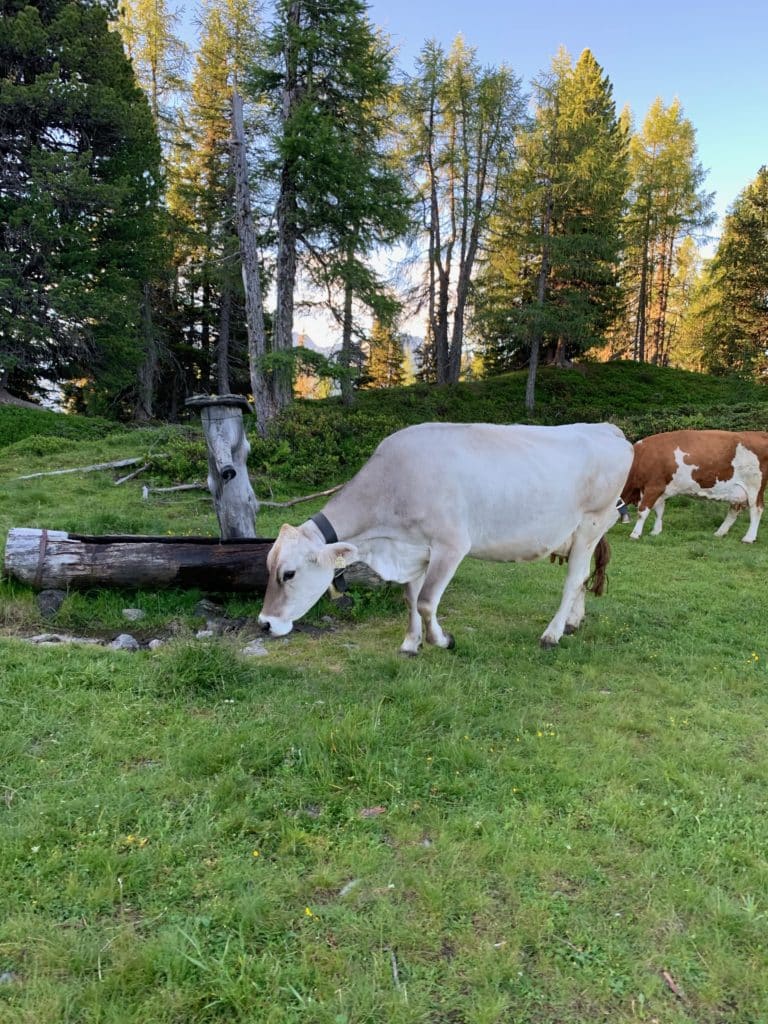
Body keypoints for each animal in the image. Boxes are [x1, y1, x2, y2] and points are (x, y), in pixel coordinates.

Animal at [259, 419, 630, 651]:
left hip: (592, 522)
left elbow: (426, 602)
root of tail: (606, 428)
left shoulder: (451, 545)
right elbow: (410, 599)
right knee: (582, 578)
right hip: (583, 534)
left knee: (574, 579)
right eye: (268, 567)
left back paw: (552, 635)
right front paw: (410, 644)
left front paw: (442, 640)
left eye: (288, 573)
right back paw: (572, 623)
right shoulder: (413, 550)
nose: (264, 624)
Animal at [622, 425, 768, 544]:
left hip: (755, 487)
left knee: (757, 509)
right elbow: (659, 510)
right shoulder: (660, 488)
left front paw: (635, 534)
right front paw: (655, 531)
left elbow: (643, 511)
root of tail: (759, 433)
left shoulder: (654, 487)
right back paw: (720, 532)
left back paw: (748, 538)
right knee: (734, 509)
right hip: (737, 490)